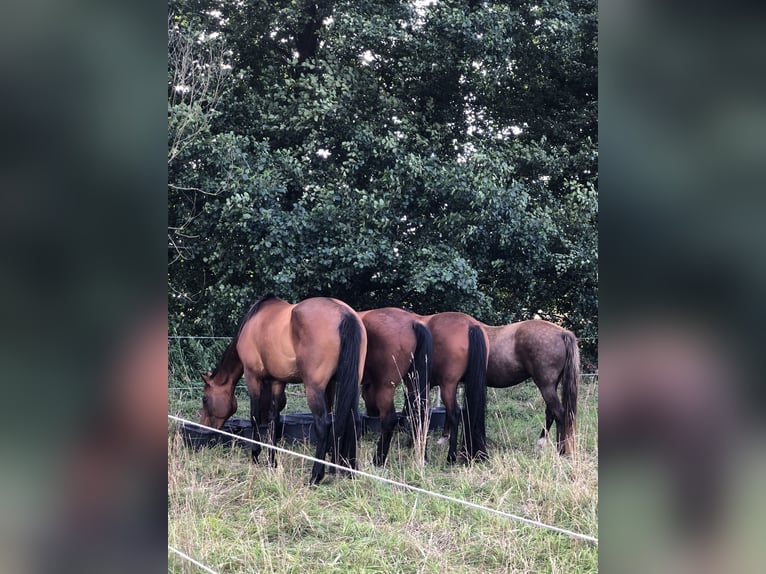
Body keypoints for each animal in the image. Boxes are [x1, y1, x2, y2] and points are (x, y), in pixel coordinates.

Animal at [198, 294, 366, 484]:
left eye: (205, 399)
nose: (203, 428)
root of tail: (345, 314)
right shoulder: (278, 381)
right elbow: (274, 420)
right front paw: (272, 461)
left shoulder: (252, 377)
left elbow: (255, 417)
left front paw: (255, 455)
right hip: (348, 385)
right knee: (353, 419)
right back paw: (349, 470)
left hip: (314, 389)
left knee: (323, 424)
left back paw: (315, 476)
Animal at [358, 310, 432, 468]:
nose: (371, 413)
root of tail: (412, 323)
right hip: (413, 382)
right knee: (421, 414)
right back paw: (422, 457)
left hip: (386, 387)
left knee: (389, 420)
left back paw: (378, 460)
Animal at [480, 318, 584, 456]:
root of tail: (562, 332)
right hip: (551, 387)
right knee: (550, 413)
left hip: (546, 387)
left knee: (559, 413)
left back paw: (560, 451)